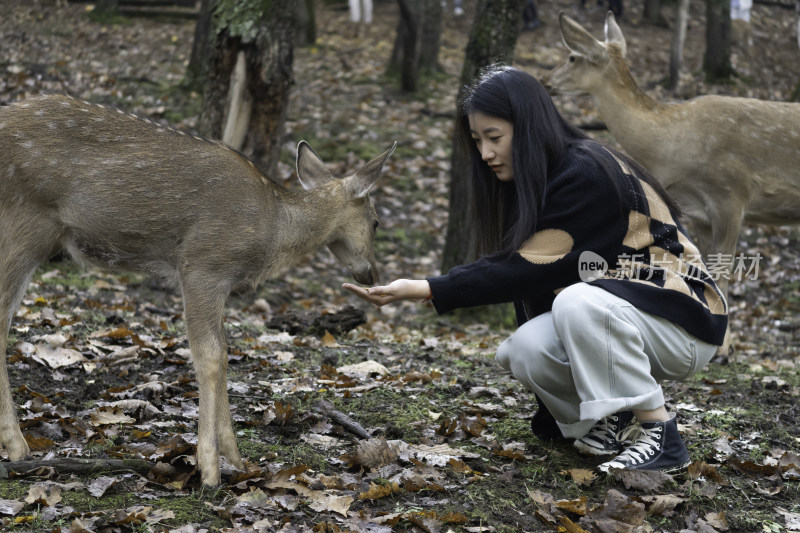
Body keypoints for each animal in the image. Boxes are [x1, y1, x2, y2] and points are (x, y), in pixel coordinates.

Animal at [0, 93, 396, 484]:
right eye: (376, 222)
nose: (371, 274)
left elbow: (223, 353)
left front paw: (237, 460)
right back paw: (18, 447)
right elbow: (209, 356)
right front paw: (209, 469)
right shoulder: (203, 265)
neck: (274, 230)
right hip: (26, 224)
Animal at [540, 12, 800, 350]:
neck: (672, 147)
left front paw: (724, 348)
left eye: (572, 56)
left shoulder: (732, 193)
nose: (545, 81)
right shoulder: (699, 211)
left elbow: (723, 270)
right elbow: (706, 268)